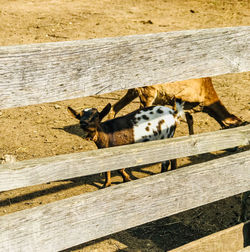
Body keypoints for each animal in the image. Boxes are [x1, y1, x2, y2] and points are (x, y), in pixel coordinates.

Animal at [109, 78, 242, 135]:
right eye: (237, 125)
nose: (236, 148)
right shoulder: (177, 99)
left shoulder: (188, 107)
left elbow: (190, 122)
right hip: (148, 95)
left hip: (133, 93)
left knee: (114, 108)